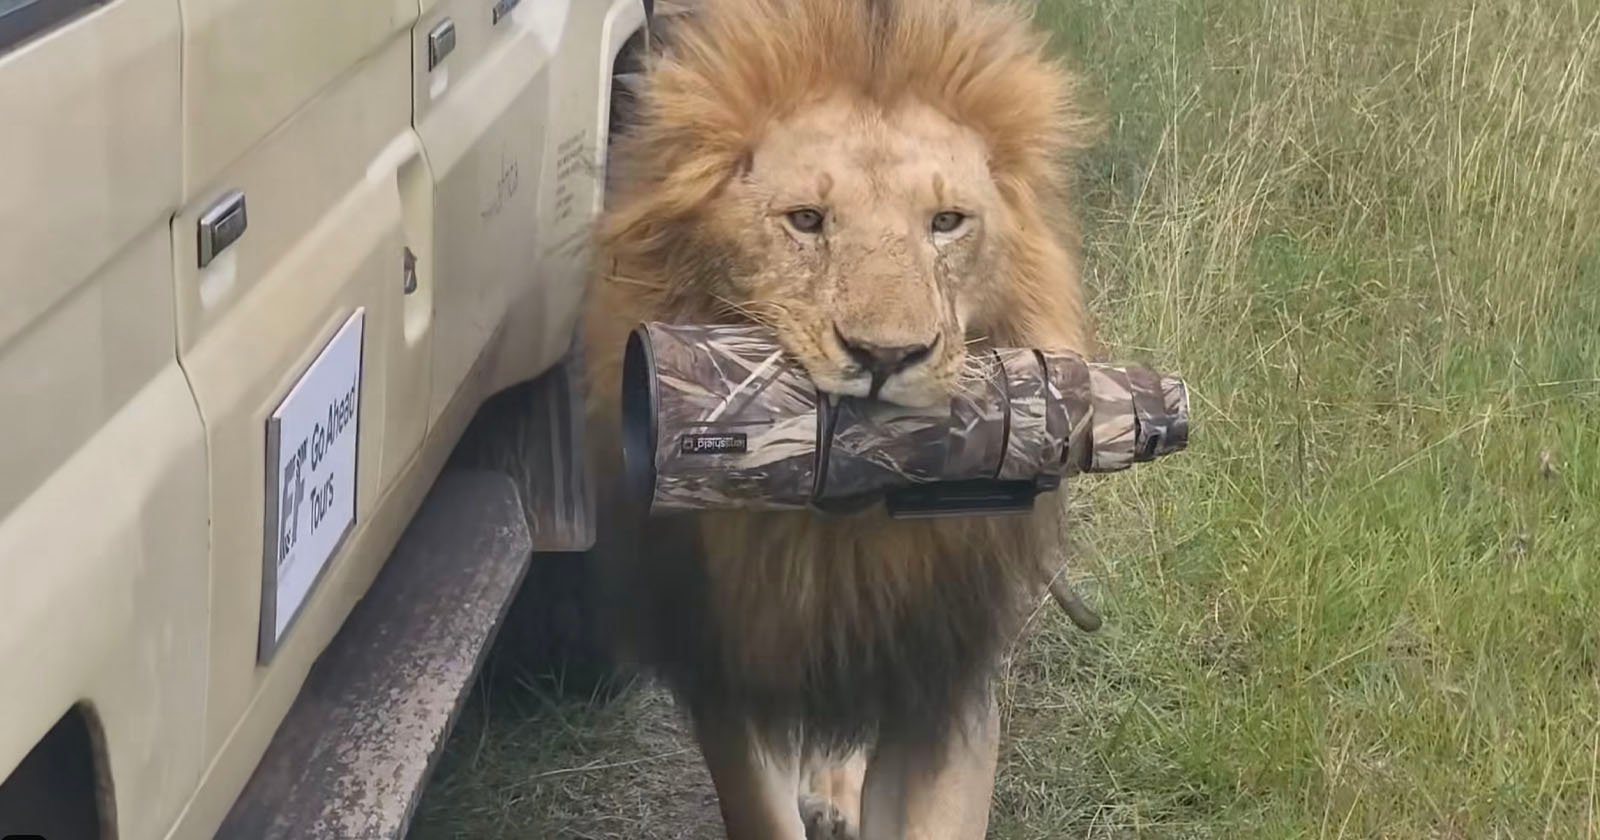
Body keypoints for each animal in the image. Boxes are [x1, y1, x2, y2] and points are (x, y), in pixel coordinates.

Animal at [580, 0, 1097, 836]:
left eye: (947, 222)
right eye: (806, 220)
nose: (887, 356)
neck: (842, 546)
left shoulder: (946, 681)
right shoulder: (725, 672)